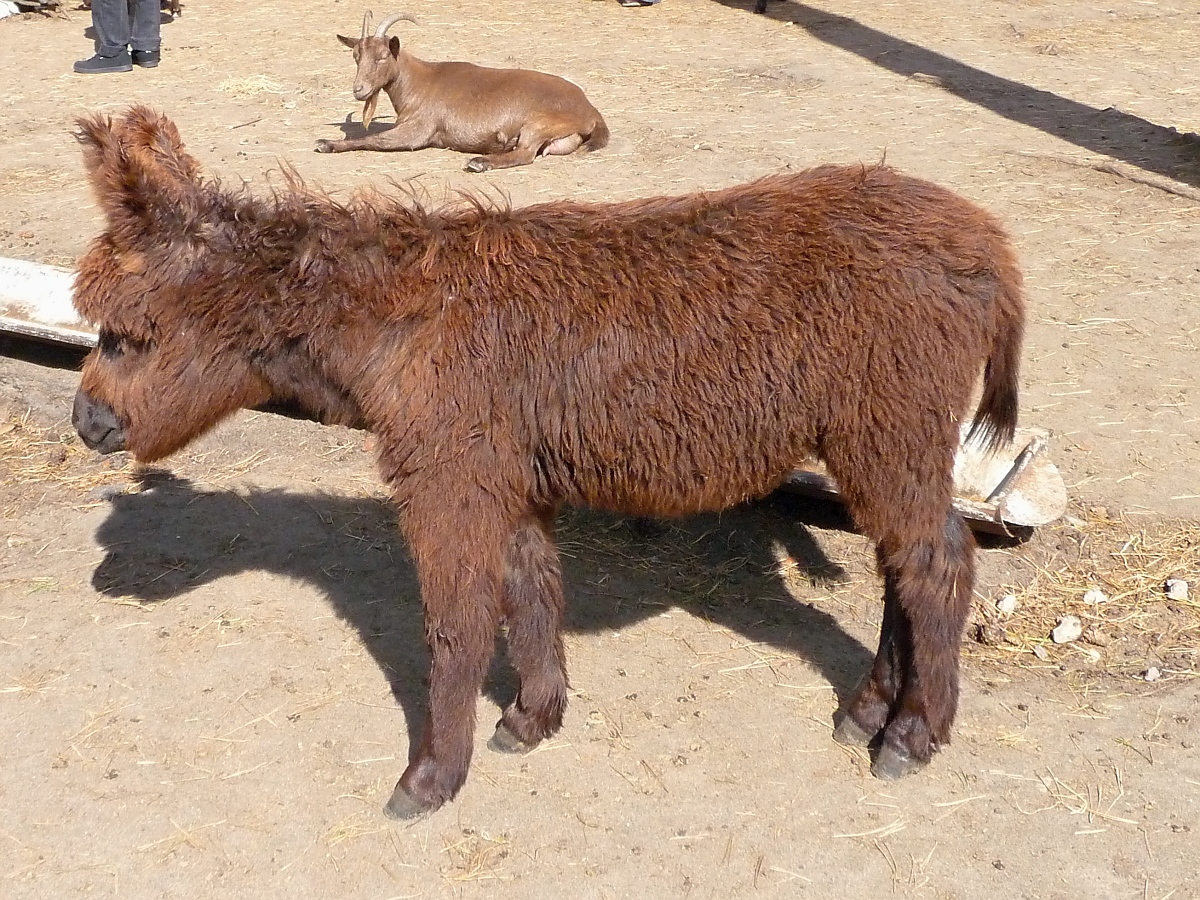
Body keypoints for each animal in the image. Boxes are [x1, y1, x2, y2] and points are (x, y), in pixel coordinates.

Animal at [72, 109, 1022, 820]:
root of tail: (983, 238)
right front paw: (533, 719)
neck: (393, 323)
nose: (87, 424)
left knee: (937, 562)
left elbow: (454, 629)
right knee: (903, 567)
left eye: (129, 334)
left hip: (887, 430)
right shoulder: (509, 484)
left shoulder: (448, 482)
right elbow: (530, 593)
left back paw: (911, 738)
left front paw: (430, 780)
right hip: (881, 441)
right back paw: (867, 713)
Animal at [314, 10, 609, 171]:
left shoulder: (418, 130)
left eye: (382, 57)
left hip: (539, 123)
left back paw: (480, 162)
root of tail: (591, 112)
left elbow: (373, 139)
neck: (417, 83)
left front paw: (326, 143)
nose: (359, 90)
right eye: (355, 56)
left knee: (525, 153)